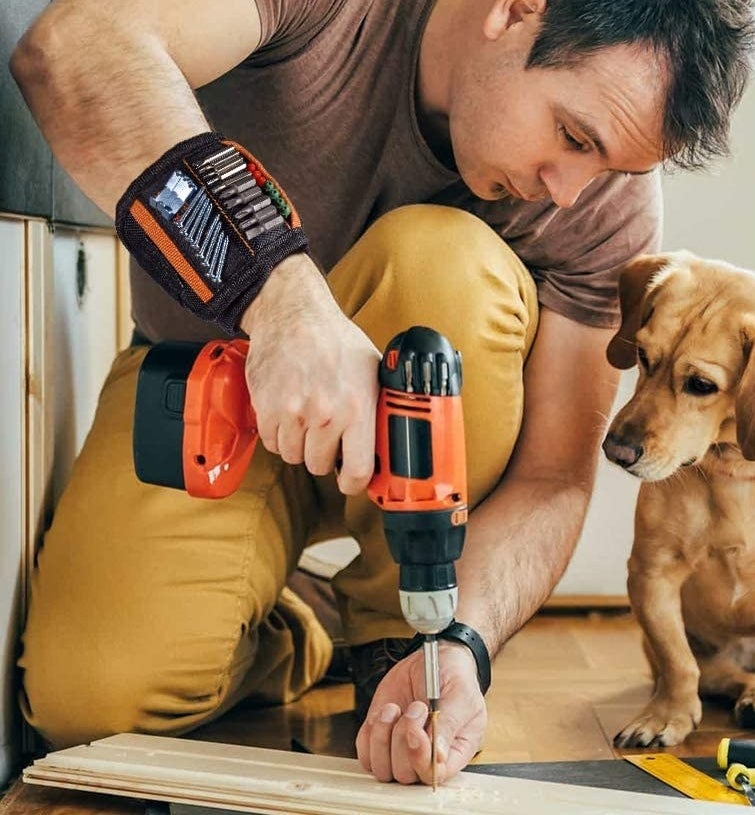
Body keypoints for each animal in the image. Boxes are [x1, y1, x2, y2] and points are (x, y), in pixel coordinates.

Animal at [604, 250, 755, 744]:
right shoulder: (652, 574)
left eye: (702, 385)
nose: (615, 450)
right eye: (642, 355)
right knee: (721, 675)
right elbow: (677, 662)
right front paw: (665, 715)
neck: (734, 473)